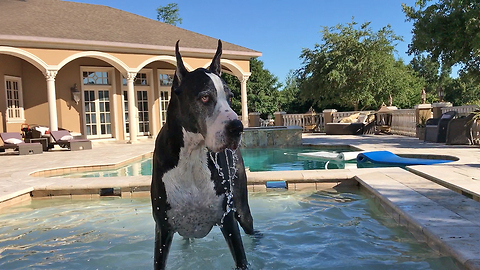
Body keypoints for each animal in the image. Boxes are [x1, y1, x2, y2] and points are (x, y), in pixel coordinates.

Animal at [151, 40, 255, 270]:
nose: (238, 127)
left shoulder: (228, 221)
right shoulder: (163, 227)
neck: (192, 154)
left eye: (230, 97)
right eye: (205, 97)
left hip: (242, 209)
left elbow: (242, 258)